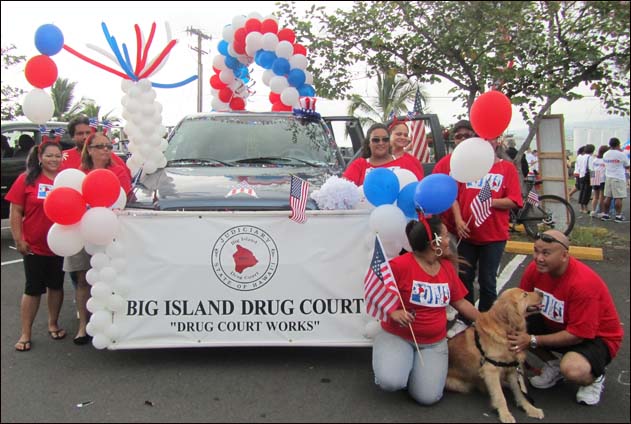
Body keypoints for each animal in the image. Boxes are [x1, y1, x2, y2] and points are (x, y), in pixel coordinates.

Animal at [446, 286, 544, 422]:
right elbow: (500, 396)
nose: (542, 293)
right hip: (460, 385)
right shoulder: (490, 370)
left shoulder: (512, 369)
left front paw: (531, 409)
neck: (505, 329)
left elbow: (520, 392)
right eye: (525, 295)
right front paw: (505, 415)